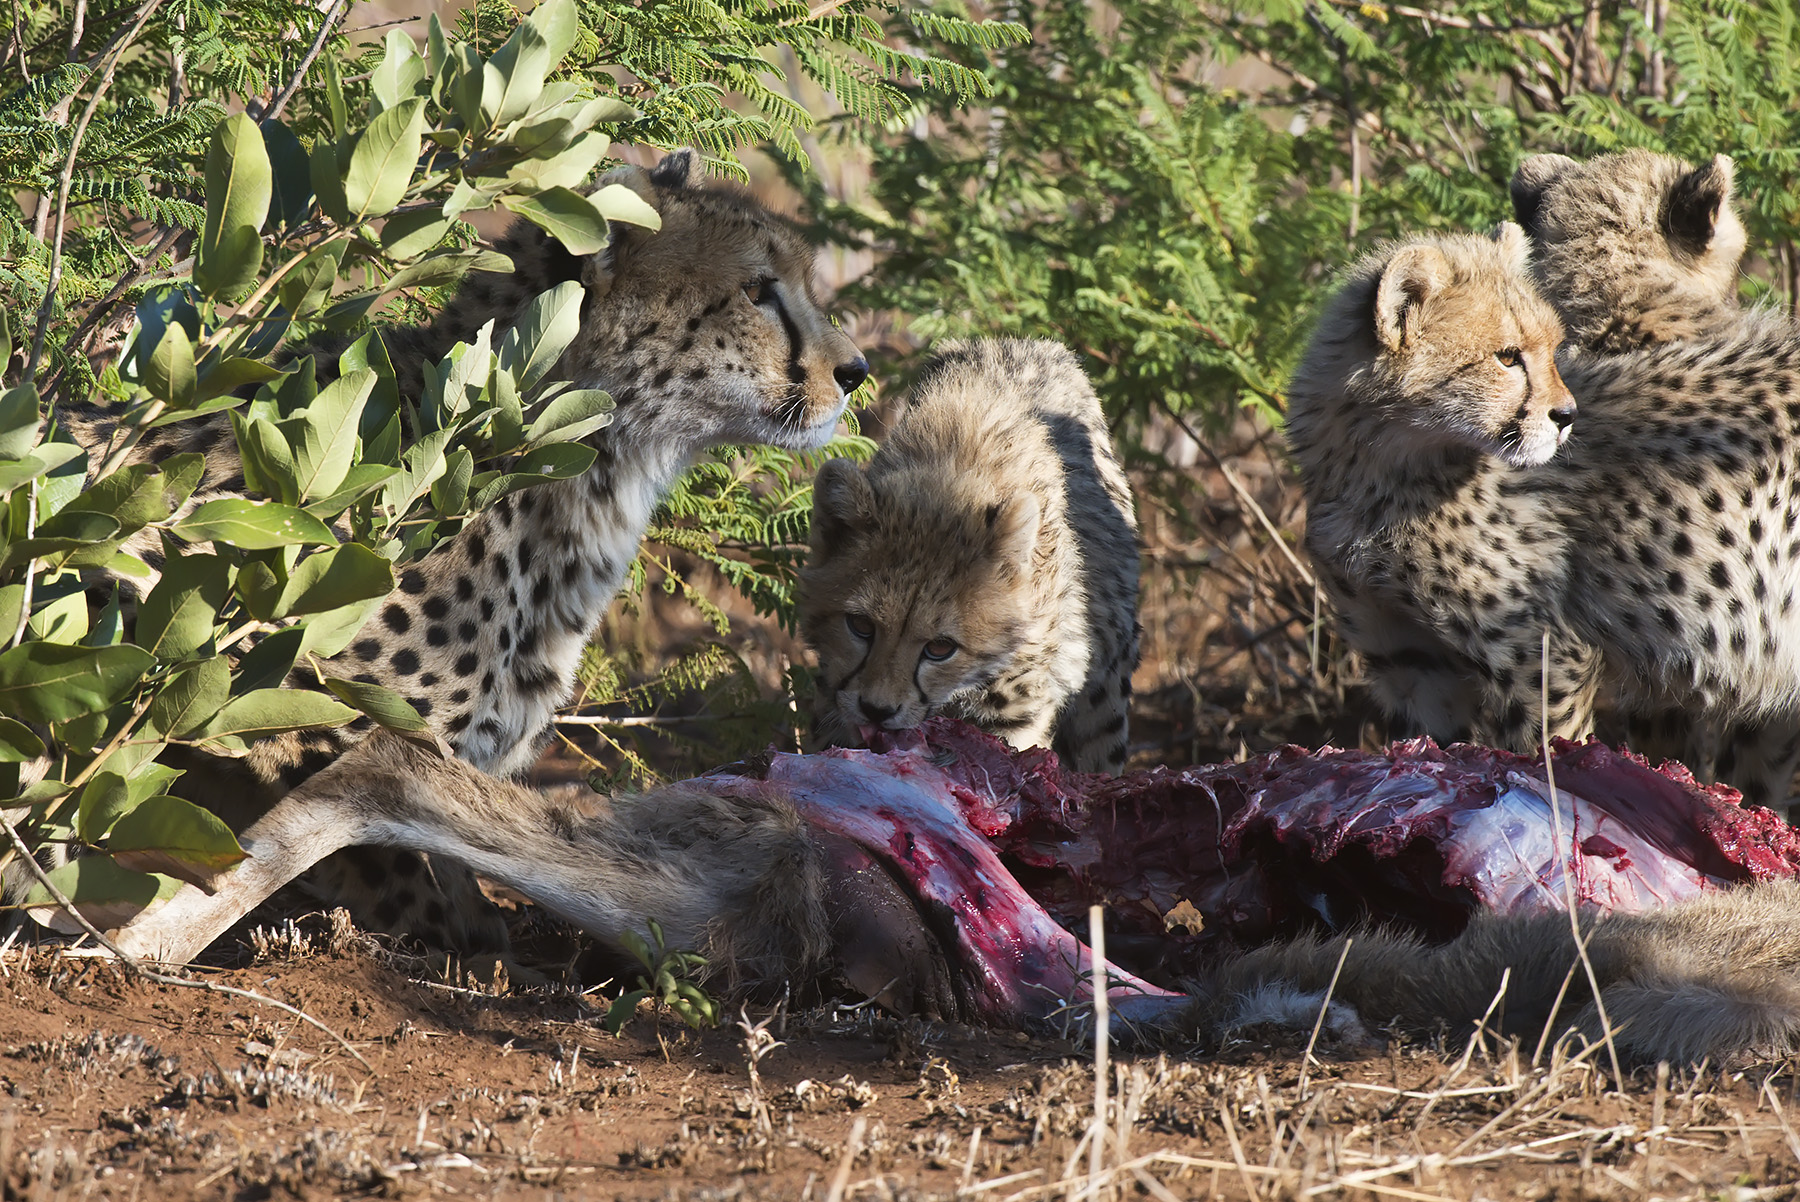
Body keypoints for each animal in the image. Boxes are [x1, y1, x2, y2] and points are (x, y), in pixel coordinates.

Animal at [799, 338, 1140, 774]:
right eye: (860, 625)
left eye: (940, 648)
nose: (877, 709)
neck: (948, 480)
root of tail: (1019, 341)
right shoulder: (834, 700)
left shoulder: (1016, 714)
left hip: (1104, 693)